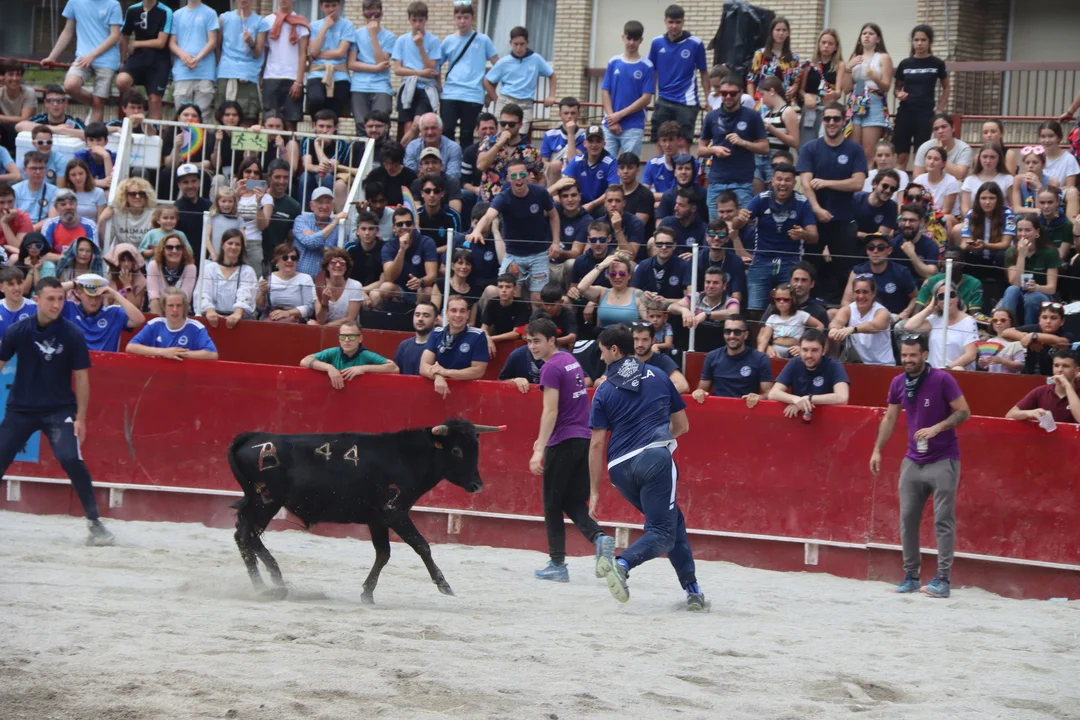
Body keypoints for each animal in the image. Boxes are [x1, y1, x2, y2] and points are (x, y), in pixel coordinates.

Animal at [227, 418, 504, 603]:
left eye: (476, 448)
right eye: (456, 450)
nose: (477, 485)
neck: (407, 456)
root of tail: (254, 438)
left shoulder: (377, 519)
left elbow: (383, 553)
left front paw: (367, 593)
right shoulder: (395, 512)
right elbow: (421, 545)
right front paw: (444, 585)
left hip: (259, 503)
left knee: (245, 536)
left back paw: (270, 582)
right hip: (266, 501)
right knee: (247, 536)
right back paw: (269, 585)